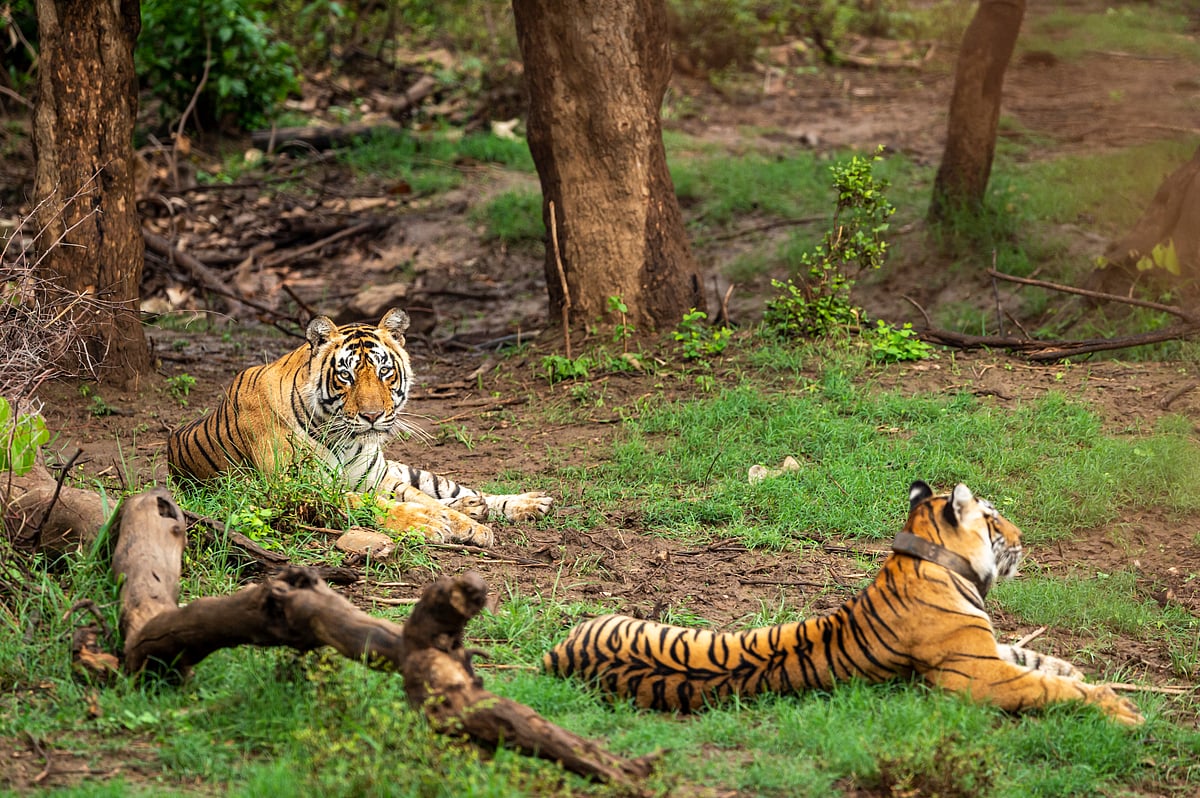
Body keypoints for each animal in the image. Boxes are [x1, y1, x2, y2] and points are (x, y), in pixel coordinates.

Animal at [167, 308, 553, 545]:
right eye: (346, 375)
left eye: (384, 371)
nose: (372, 415)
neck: (345, 439)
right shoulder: (301, 489)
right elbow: (383, 506)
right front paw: (428, 524)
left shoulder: (378, 479)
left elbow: (426, 501)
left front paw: (469, 526)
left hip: (403, 470)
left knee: (452, 489)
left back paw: (524, 503)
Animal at [544, 481, 1143, 725]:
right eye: (994, 519)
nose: (1023, 537)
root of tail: (556, 655)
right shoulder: (976, 675)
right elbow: (1046, 685)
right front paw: (1120, 710)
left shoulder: (987, 649)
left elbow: (1041, 660)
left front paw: (1091, 678)